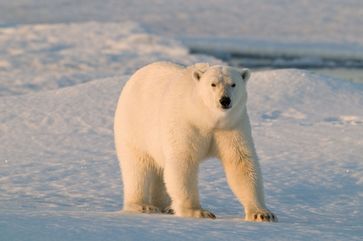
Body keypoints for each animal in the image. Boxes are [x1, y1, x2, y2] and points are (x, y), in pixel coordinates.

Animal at [115, 61, 278, 222]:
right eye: (213, 84)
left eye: (233, 84)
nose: (225, 100)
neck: (205, 117)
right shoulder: (185, 123)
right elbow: (183, 161)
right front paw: (198, 212)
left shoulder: (231, 126)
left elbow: (240, 162)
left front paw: (262, 213)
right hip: (134, 126)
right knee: (137, 167)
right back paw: (143, 205)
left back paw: (166, 207)